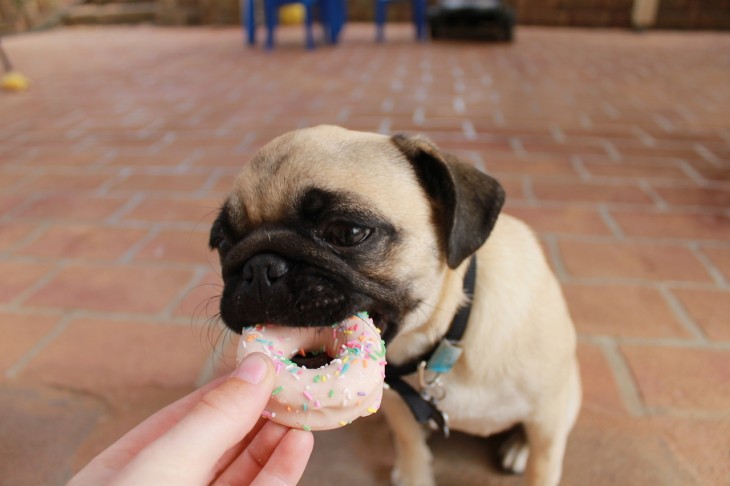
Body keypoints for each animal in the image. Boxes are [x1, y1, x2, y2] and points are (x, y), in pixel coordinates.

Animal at [209, 125, 580, 486]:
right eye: (222, 244)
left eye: (347, 232)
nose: (260, 268)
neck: (441, 342)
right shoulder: (398, 404)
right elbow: (409, 441)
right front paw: (414, 472)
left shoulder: (548, 419)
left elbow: (543, 466)